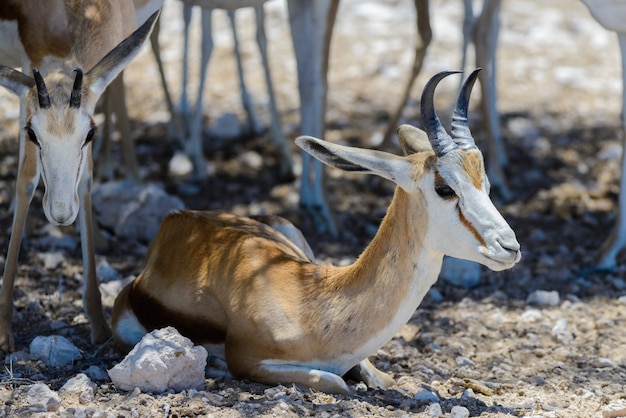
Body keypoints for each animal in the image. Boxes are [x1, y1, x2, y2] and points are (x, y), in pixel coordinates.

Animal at [111, 68, 516, 392]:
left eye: (486, 185)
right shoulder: (252, 361)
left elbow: (380, 376)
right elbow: (337, 381)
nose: (509, 246)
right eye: (445, 188)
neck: (313, 306)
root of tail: (176, 218)